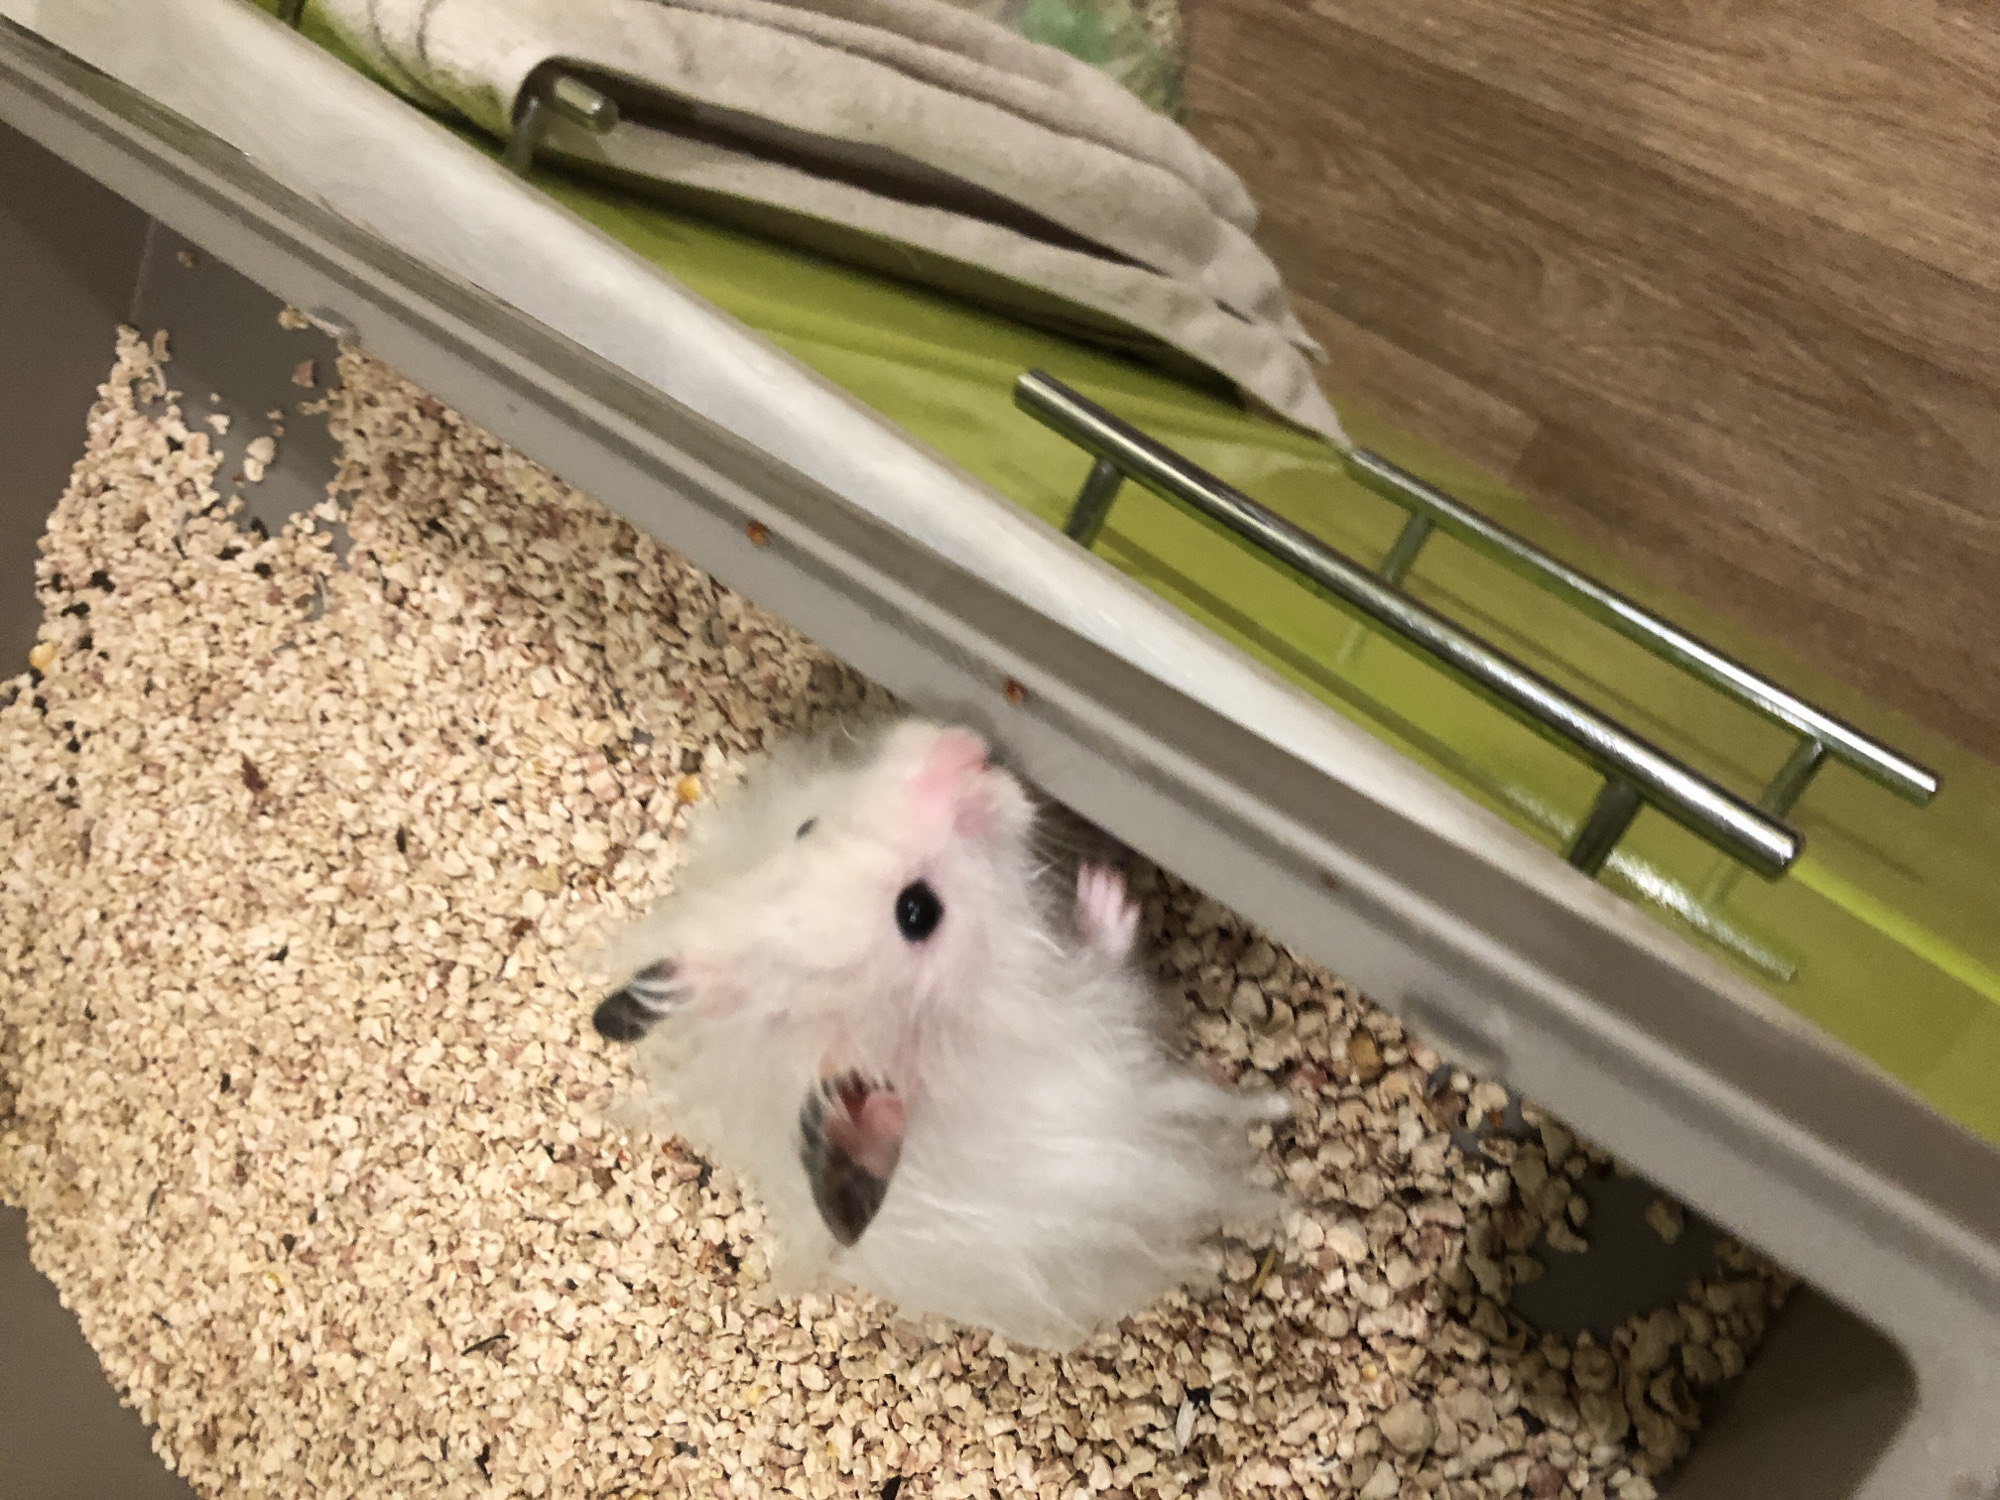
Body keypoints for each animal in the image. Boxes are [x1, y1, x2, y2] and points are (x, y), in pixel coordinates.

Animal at [588, 717, 1282, 1350]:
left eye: (807, 827)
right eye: (917, 911)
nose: (961, 747)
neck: (984, 999)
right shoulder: (1099, 1023)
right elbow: (1111, 962)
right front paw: (1106, 889)